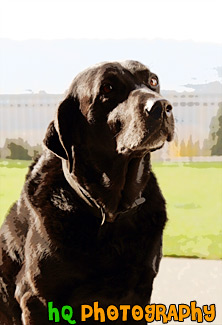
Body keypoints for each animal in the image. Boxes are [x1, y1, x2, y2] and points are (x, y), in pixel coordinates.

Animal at [0, 60, 173, 322]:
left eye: (153, 80)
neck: (111, 211)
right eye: (108, 88)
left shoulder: (140, 291)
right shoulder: (35, 298)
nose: (162, 106)